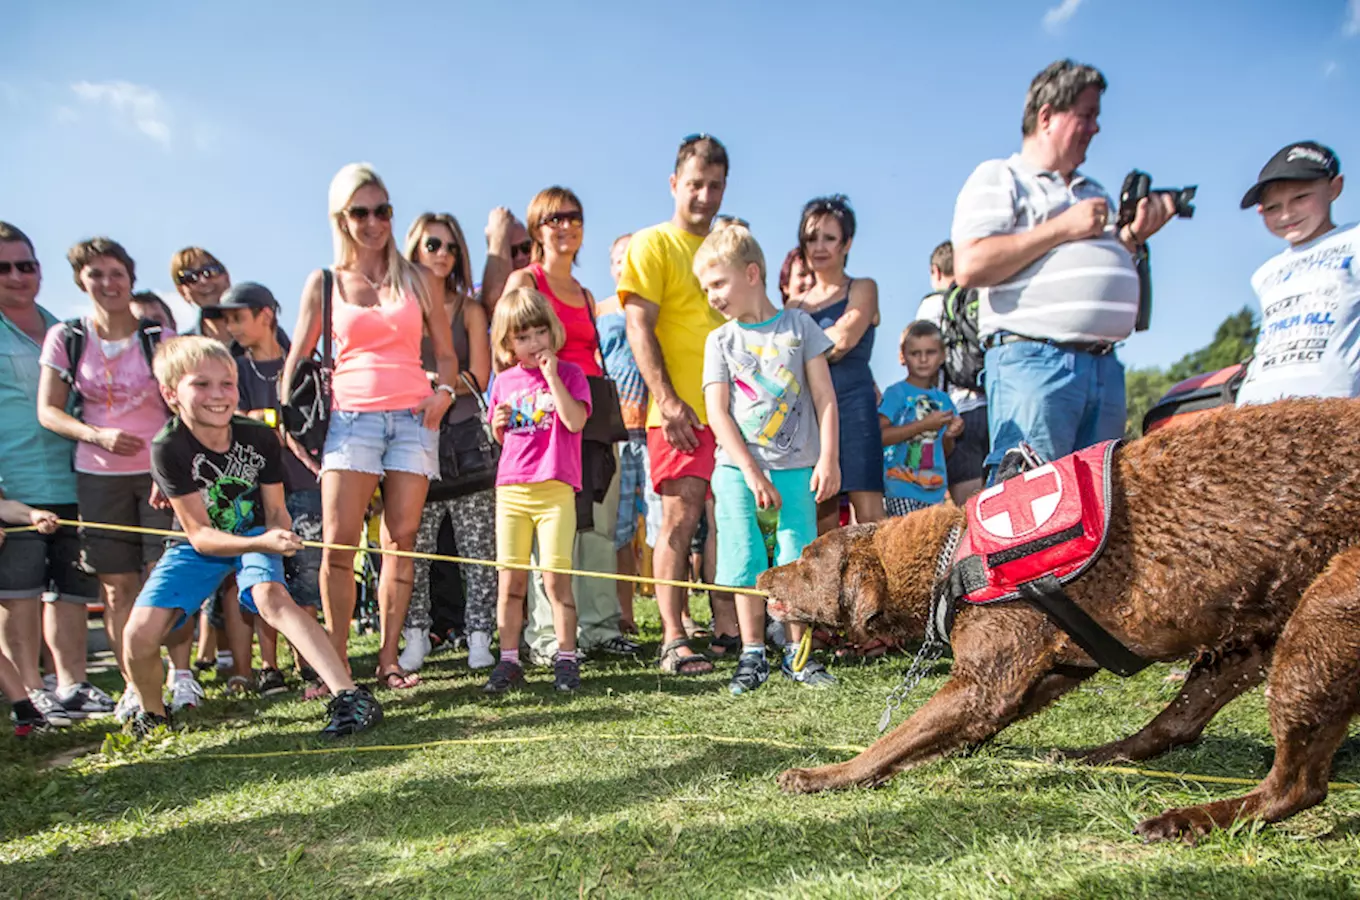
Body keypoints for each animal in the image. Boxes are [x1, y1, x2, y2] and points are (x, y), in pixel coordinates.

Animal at [761, 399, 1360, 842]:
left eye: (807, 558)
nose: (765, 576)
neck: (952, 557)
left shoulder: (983, 683)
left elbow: (894, 740)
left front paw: (826, 775)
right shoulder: (1048, 669)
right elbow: (939, 737)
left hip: (1324, 619)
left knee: (1300, 785)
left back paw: (1189, 819)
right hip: (1246, 640)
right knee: (1178, 724)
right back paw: (1098, 756)